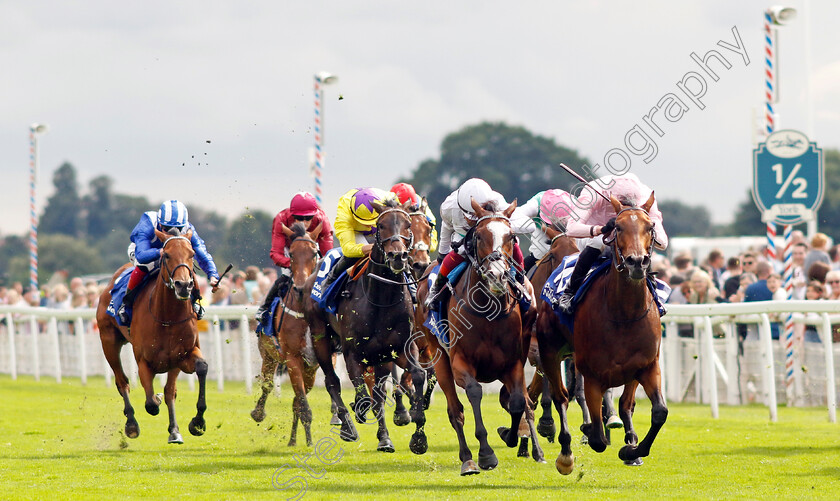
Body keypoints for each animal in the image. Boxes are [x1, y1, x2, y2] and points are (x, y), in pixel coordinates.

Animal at [97, 229, 209, 444]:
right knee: (122, 382)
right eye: (167, 255)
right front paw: (153, 400)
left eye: (192, 254)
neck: (167, 317)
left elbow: (200, 368)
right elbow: (150, 404)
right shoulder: (143, 360)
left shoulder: (182, 356)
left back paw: (174, 430)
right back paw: (131, 423)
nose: (184, 285)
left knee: (170, 391)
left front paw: (197, 422)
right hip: (109, 342)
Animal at [249, 222, 322, 446]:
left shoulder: (316, 363)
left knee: (296, 399)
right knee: (267, 384)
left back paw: (292, 439)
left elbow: (299, 401)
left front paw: (305, 439)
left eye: (314, 253)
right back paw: (259, 413)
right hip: (268, 354)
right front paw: (309, 443)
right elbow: (302, 403)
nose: (300, 287)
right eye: (291, 255)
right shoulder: (292, 359)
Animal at [418, 197, 548, 474]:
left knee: (522, 402)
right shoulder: (460, 363)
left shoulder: (514, 363)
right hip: (439, 358)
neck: (488, 313)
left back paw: (535, 449)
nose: (497, 275)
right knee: (455, 411)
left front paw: (511, 435)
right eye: (478, 236)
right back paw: (467, 459)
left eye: (511, 236)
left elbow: (518, 401)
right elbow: (475, 393)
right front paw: (486, 454)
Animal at [540, 191, 668, 472]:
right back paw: (565, 453)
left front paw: (631, 449)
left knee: (625, 404)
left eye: (650, 226)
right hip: (550, 351)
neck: (624, 314)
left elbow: (658, 412)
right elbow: (597, 436)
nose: (636, 262)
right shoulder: (592, 374)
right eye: (617, 227)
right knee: (560, 397)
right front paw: (591, 432)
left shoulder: (647, 365)